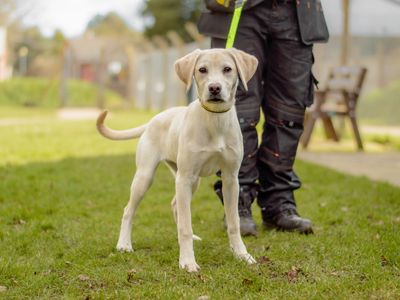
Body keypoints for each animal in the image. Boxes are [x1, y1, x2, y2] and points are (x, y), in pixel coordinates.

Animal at [98, 48, 258, 274]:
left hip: (192, 181)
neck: (214, 121)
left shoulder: (231, 179)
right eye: (202, 70)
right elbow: (185, 225)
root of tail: (153, 120)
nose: (214, 88)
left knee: (175, 205)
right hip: (147, 177)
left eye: (228, 69)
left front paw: (242, 255)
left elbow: (234, 223)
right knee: (129, 210)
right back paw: (124, 244)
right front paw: (187, 261)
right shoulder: (185, 178)